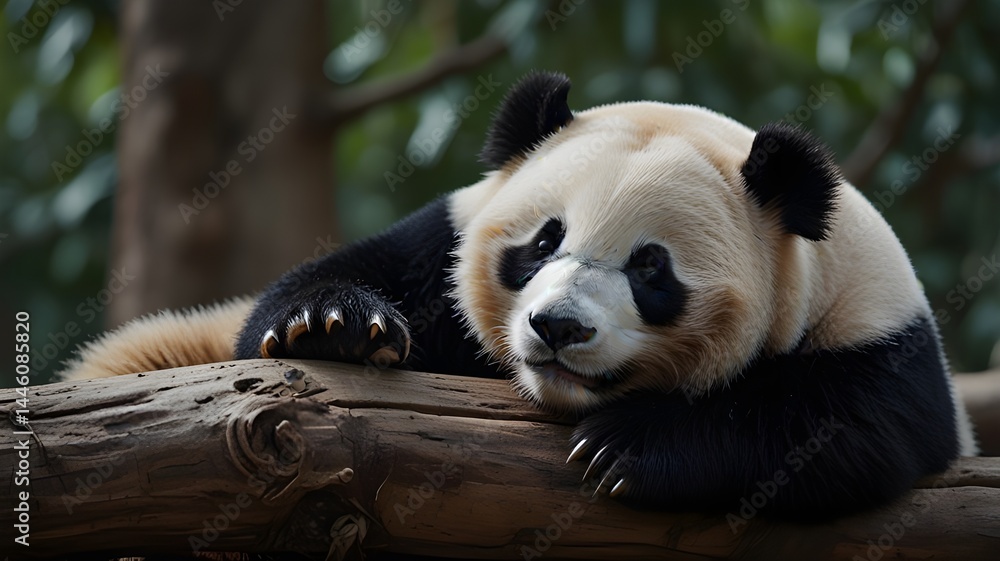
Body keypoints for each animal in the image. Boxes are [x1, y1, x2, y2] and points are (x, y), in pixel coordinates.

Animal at [62, 71, 977, 518]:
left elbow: (838, 425)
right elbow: (302, 297)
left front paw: (626, 449)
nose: (557, 326)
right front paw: (333, 323)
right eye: (543, 242)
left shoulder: (874, 325)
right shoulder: (446, 237)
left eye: (652, 270)